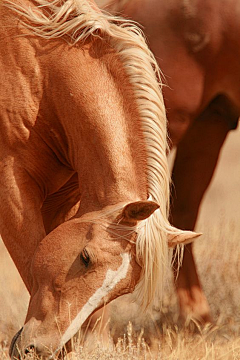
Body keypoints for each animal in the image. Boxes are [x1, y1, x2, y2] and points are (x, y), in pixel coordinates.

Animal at [0, 0, 199, 358]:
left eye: (124, 289)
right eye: (85, 257)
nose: (36, 348)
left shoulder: (67, 199)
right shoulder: (11, 188)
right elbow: (29, 255)